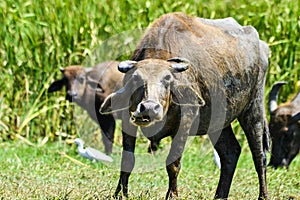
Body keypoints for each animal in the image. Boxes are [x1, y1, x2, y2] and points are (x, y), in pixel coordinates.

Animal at [100, 12, 270, 200]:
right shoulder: (127, 120)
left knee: (259, 155)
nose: (149, 108)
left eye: (168, 79)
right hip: (218, 122)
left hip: (254, 108)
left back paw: (263, 195)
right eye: (136, 78)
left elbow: (173, 163)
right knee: (230, 152)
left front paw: (172, 195)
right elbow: (127, 160)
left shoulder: (185, 123)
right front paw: (120, 193)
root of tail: (262, 47)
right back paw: (220, 195)